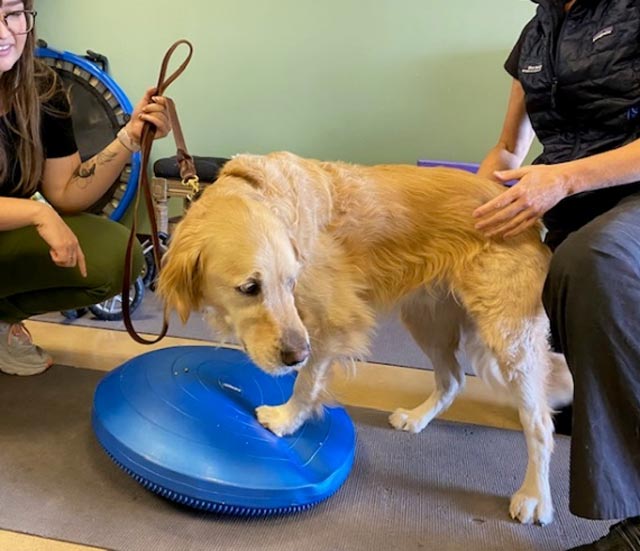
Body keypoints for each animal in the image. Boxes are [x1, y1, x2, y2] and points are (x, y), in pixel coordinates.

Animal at [158, 150, 572, 528]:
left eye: (291, 281)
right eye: (249, 288)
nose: (294, 355)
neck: (265, 193)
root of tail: (526, 216)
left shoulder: (333, 322)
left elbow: (308, 381)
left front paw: (287, 419)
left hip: (508, 339)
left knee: (539, 424)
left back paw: (534, 497)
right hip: (427, 319)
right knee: (453, 379)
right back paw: (417, 418)